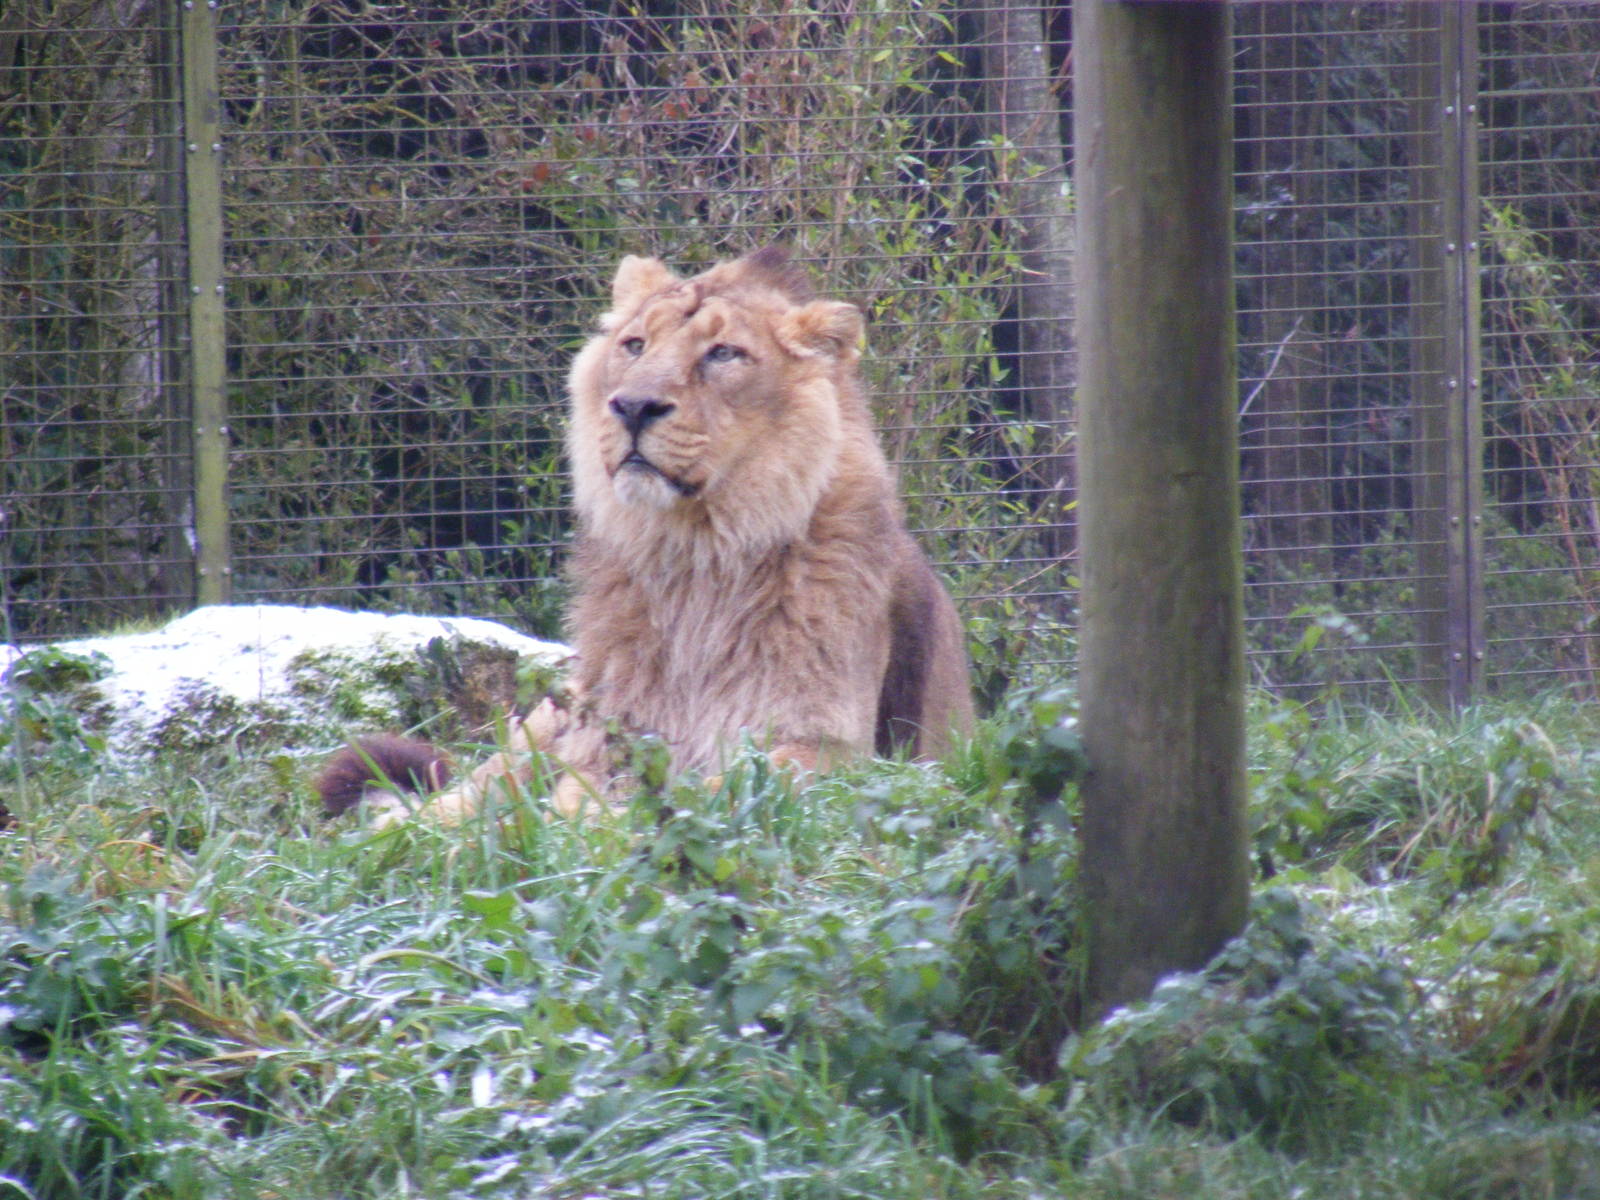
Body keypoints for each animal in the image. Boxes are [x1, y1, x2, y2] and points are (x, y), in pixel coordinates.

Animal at [318, 247, 973, 822]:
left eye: (724, 353)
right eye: (635, 345)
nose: (632, 406)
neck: (697, 551)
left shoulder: (833, 748)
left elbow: (719, 790)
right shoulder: (609, 736)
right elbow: (577, 801)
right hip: (551, 716)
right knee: (459, 800)